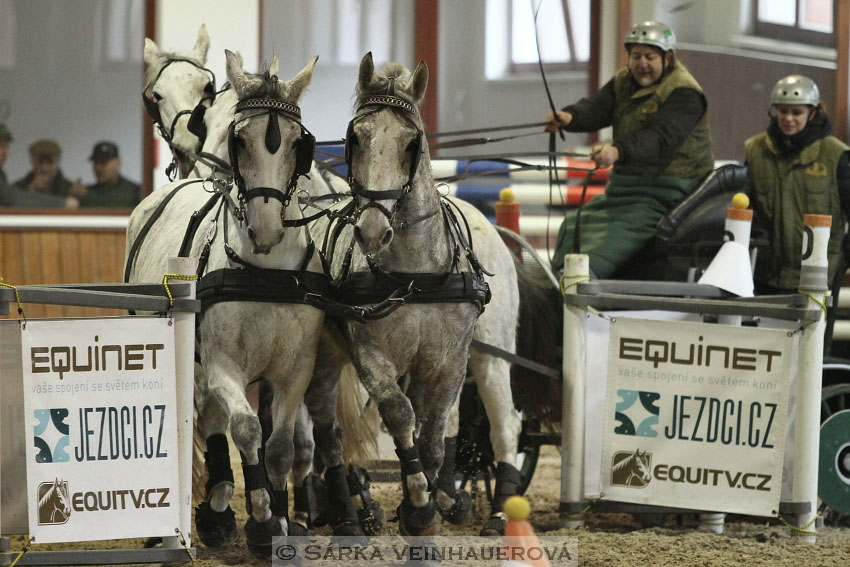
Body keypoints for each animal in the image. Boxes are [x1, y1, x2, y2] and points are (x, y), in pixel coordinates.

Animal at [126, 52, 324, 560]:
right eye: (240, 140)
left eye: (298, 143)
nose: (267, 228)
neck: (266, 270)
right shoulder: (222, 364)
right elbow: (247, 430)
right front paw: (260, 520)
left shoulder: (296, 370)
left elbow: (278, 446)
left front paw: (280, 522)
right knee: (208, 415)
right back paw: (204, 515)